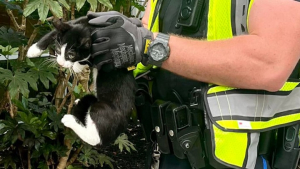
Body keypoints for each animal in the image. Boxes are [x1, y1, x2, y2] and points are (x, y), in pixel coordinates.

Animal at [27, 17, 137, 147]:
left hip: (103, 109)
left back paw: (69, 120)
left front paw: (76, 66)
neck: (89, 29)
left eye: (71, 55)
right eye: (58, 49)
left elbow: (89, 59)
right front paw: (34, 49)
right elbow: (54, 32)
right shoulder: (80, 21)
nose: (60, 63)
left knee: (95, 137)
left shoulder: (103, 51)